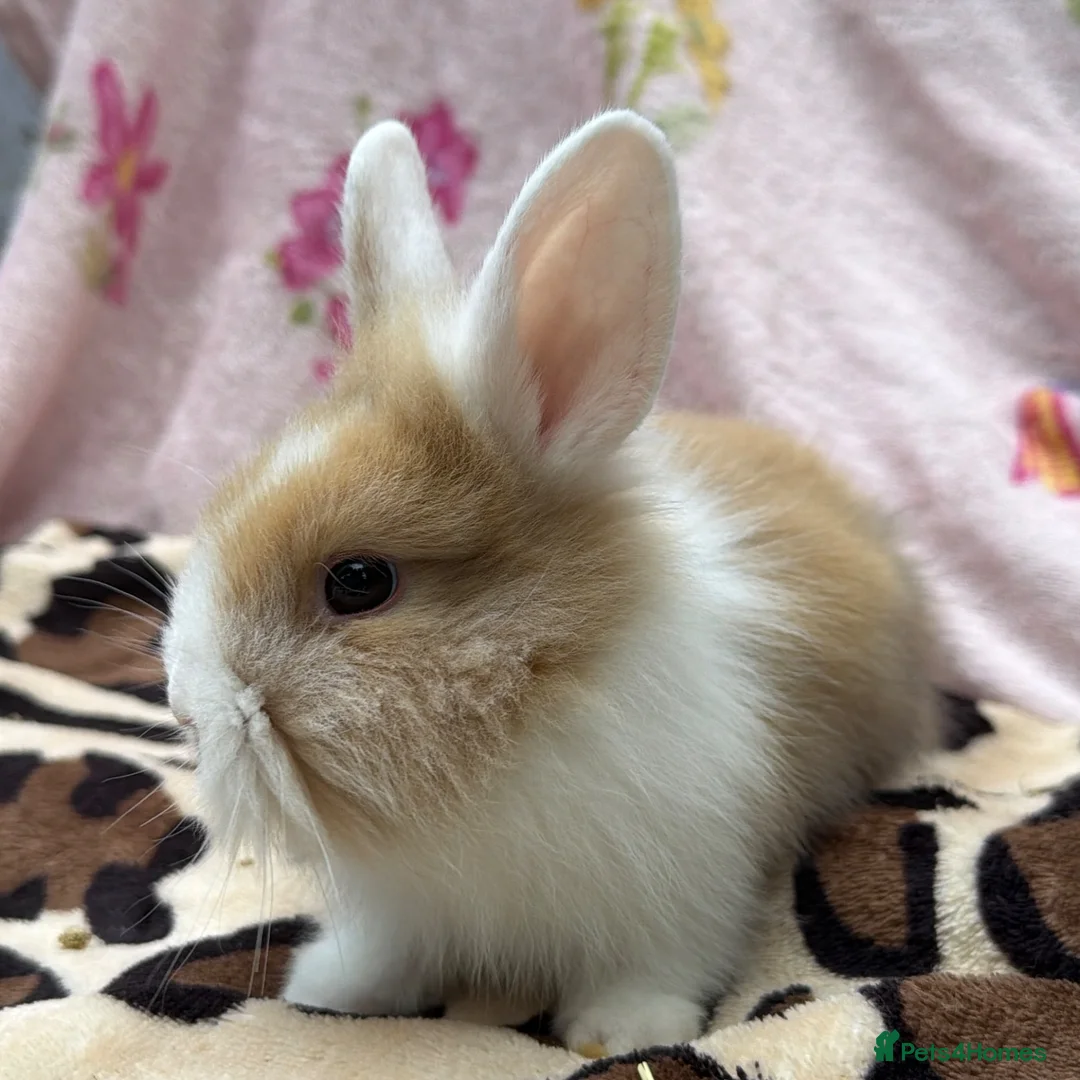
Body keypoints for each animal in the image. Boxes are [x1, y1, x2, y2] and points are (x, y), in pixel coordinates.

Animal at [162, 110, 941, 1057]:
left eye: (358, 581)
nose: (185, 711)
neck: (515, 721)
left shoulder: (686, 877)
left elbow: (658, 961)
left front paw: (622, 1031)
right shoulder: (403, 908)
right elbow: (387, 953)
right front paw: (333, 988)